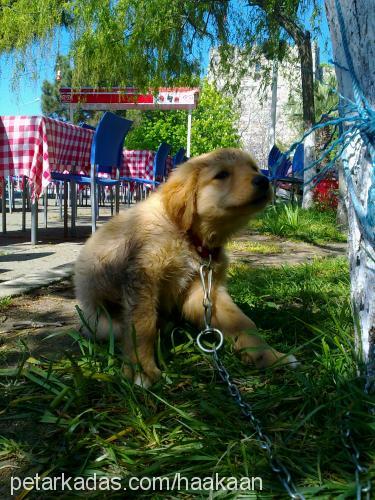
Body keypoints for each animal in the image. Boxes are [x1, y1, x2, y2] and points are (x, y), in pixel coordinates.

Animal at [74, 148, 296, 386]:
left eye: (254, 168)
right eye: (222, 175)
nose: (263, 181)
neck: (189, 237)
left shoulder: (204, 290)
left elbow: (243, 322)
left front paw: (271, 356)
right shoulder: (143, 276)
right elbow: (143, 324)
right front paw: (142, 369)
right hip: (101, 322)